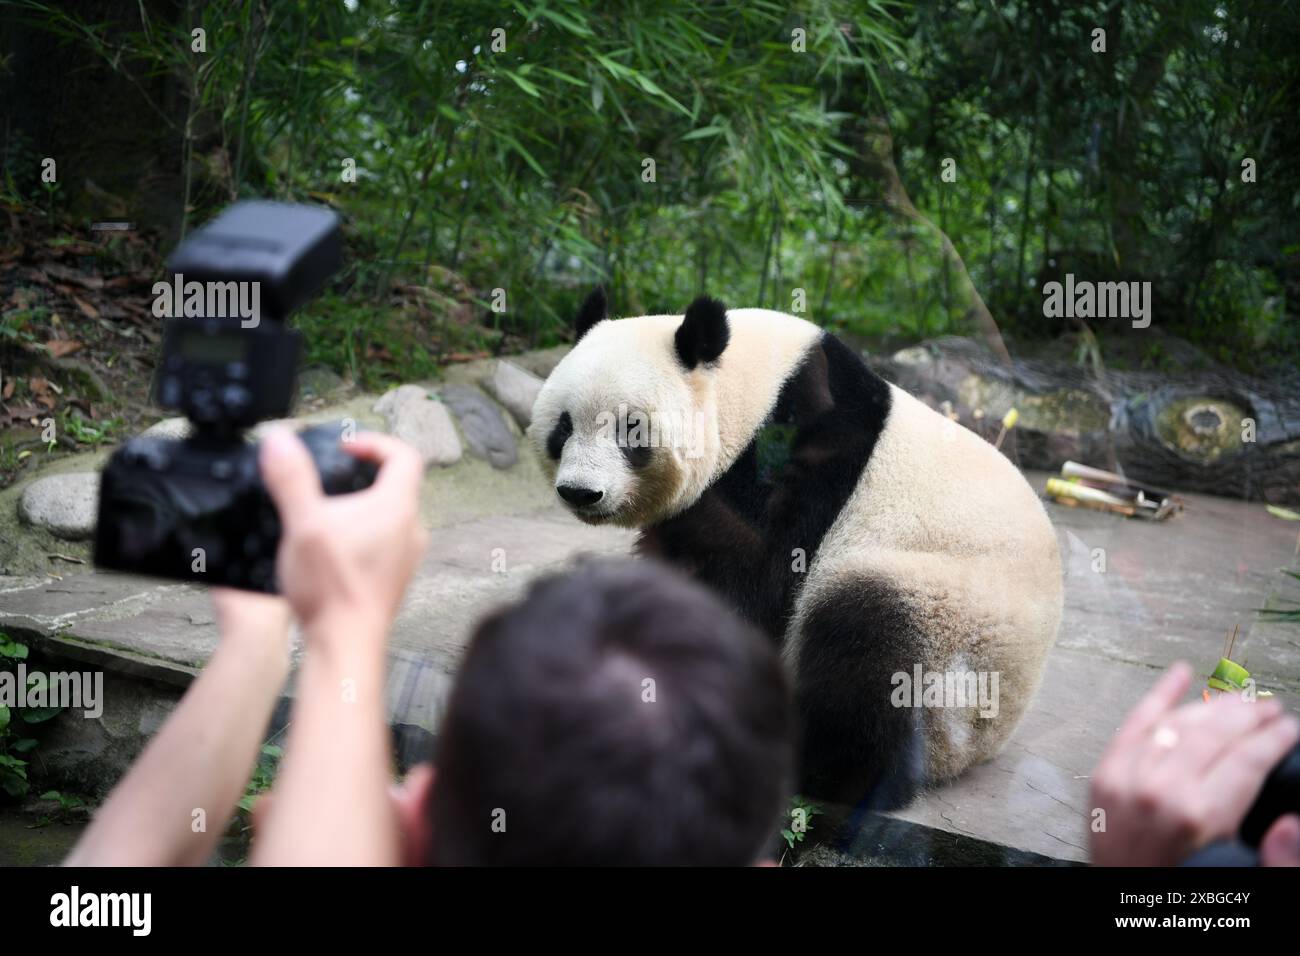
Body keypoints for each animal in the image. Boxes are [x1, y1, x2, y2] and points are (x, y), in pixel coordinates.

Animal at [527, 290, 1066, 806]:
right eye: (563, 427)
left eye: (630, 430)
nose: (581, 492)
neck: (752, 390)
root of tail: (982, 747)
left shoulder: (796, 456)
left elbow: (747, 581)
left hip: (957, 621)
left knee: (871, 640)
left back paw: (817, 765)